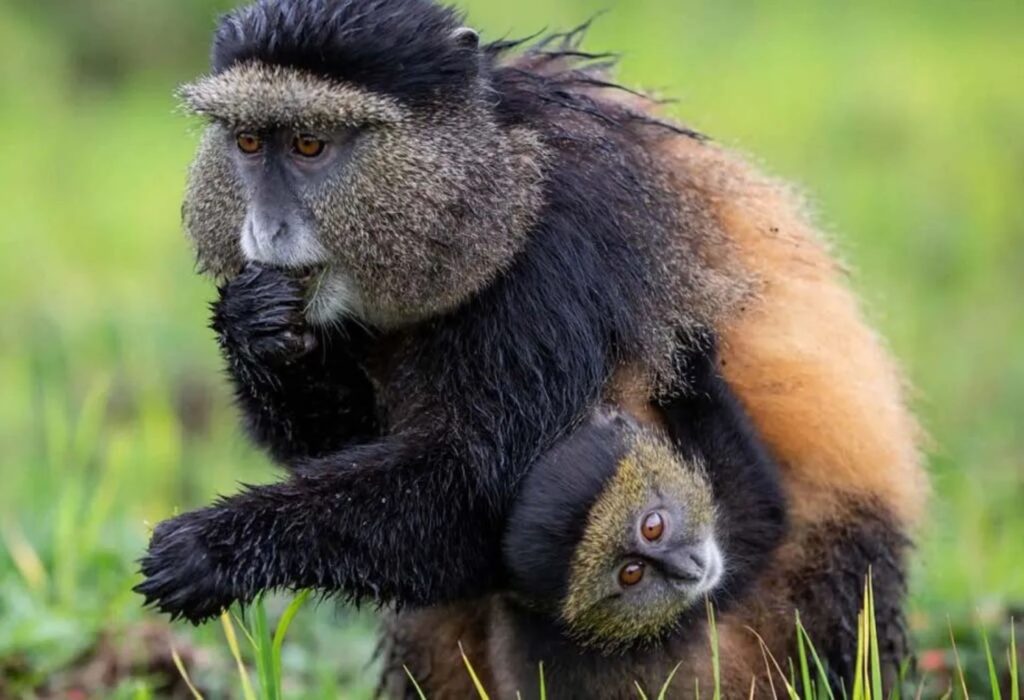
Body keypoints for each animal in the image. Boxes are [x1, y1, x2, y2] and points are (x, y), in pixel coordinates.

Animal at [136, 0, 927, 695]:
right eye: (248, 143)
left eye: (309, 145)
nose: (265, 230)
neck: (494, 179)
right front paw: (253, 326)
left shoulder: (558, 260)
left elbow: (486, 498)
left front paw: (216, 548)